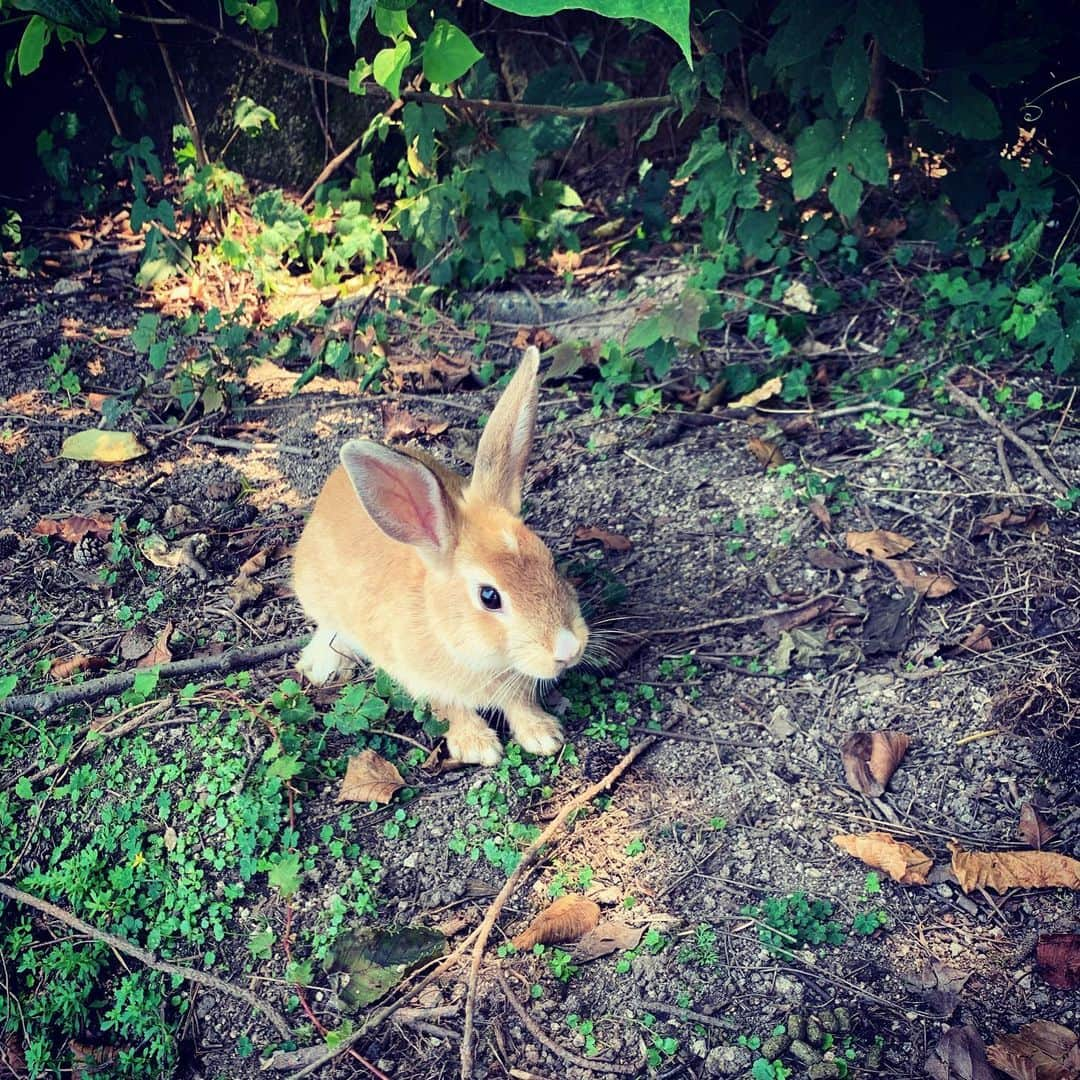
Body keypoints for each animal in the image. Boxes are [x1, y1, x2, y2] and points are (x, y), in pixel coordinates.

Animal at [291, 349, 587, 764]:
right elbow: (450, 709)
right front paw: (478, 746)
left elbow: (519, 703)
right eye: (489, 597)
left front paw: (543, 735)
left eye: (550, 560)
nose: (569, 648)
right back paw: (322, 665)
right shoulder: (418, 678)